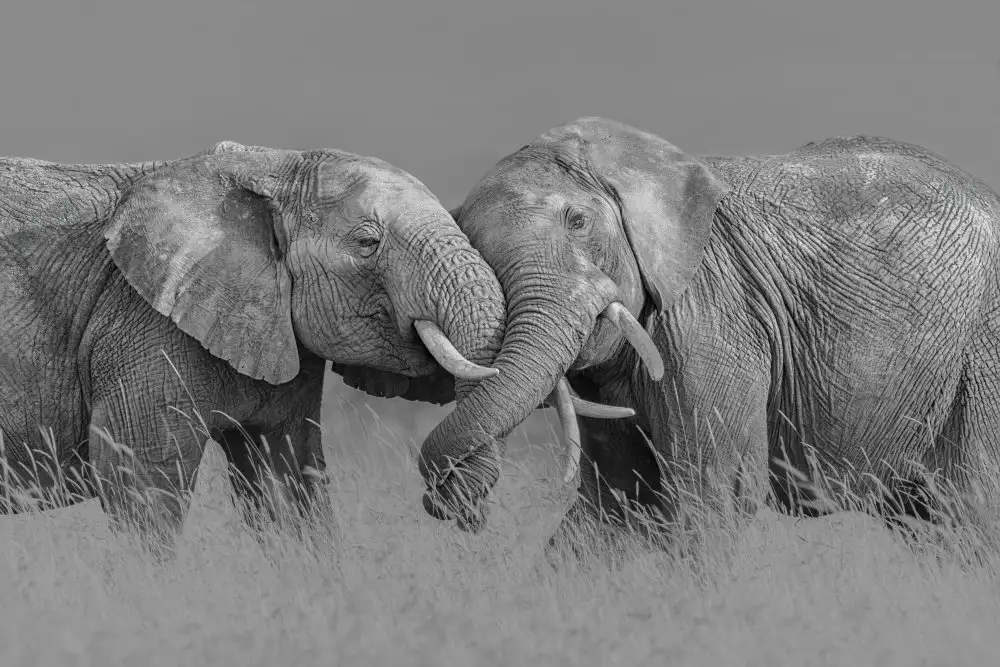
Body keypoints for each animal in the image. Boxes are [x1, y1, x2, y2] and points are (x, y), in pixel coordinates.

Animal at [0, 138, 511, 557]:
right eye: (368, 242)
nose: (453, 508)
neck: (268, 167)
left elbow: (286, 481)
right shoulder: (141, 323)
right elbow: (140, 482)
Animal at [416, 116, 1000, 554]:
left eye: (577, 222)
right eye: (470, 242)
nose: (461, 508)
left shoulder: (711, 315)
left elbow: (713, 492)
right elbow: (615, 502)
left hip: (983, 354)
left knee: (971, 509)